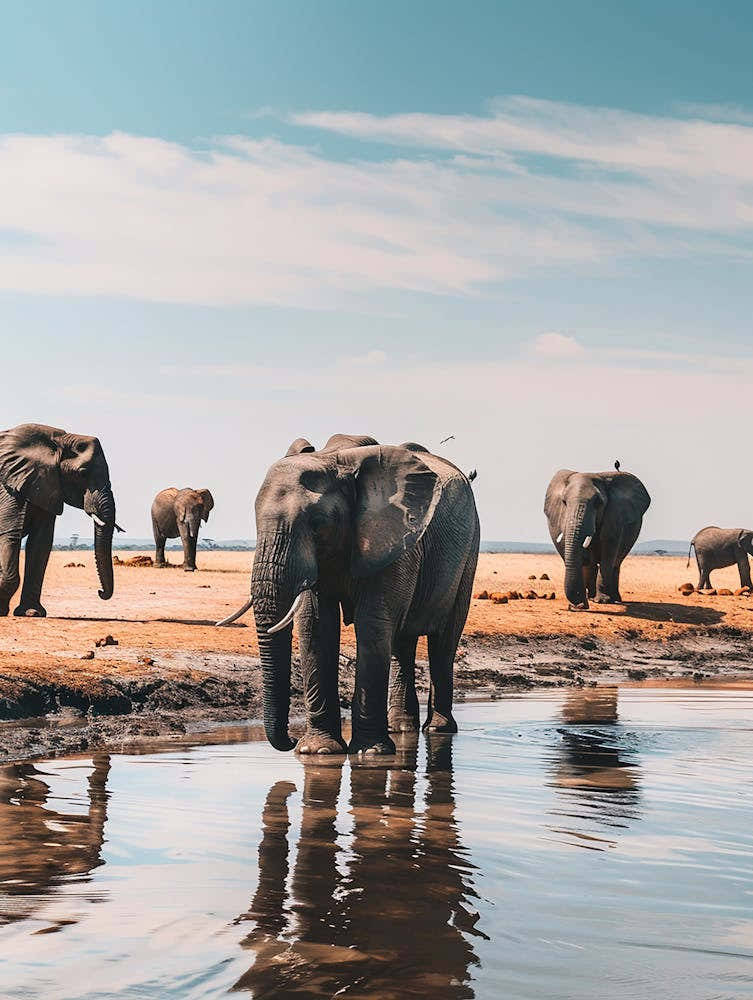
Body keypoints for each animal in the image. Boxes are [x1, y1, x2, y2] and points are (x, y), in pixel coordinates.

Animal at [0, 423, 118, 617]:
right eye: (82, 473)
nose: (100, 592)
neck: (57, 441)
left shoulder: (47, 485)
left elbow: (40, 543)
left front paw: (32, 613)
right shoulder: (9, 487)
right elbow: (10, 534)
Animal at [218, 433, 480, 756]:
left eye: (317, 525)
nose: (290, 741)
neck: (334, 459)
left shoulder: (391, 537)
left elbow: (372, 625)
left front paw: (370, 753)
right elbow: (315, 627)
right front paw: (317, 750)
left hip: (469, 550)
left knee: (443, 642)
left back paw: (438, 730)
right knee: (402, 643)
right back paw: (401, 728)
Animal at [544, 466, 650, 610]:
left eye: (598, 503)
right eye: (564, 502)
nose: (579, 605)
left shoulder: (615, 515)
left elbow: (609, 549)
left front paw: (603, 601)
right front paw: (581, 603)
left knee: (616, 563)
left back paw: (613, 599)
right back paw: (593, 596)